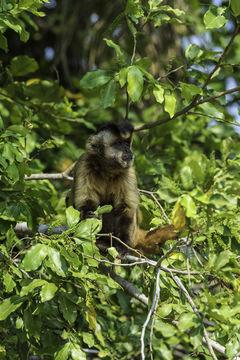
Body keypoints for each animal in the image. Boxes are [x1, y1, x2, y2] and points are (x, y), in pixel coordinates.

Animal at [66, 122, 179, 255]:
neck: (107, 170)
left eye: (127, 143)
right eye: (119, 143)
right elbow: (85, 202)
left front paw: (122, 245)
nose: (128, 149)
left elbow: (126, 209)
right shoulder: (84, 163)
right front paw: (89, 215)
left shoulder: (129, 172)